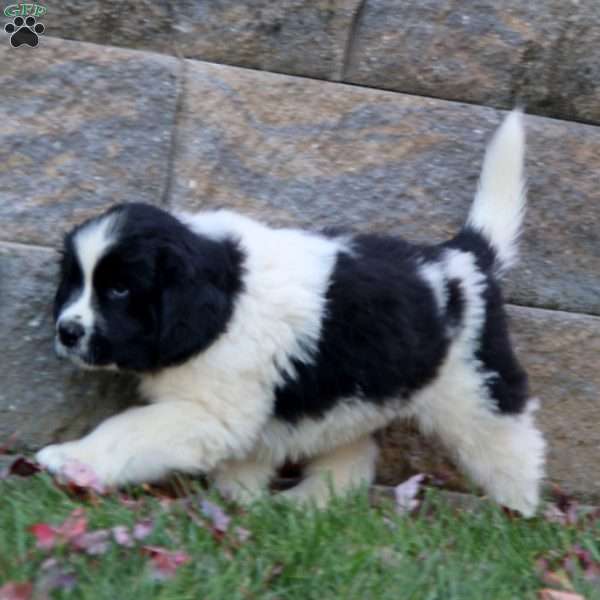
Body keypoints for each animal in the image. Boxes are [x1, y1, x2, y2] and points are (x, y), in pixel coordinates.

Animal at [36, 111, 544, 516]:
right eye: (74, 282)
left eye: (119, 289)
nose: (67, 331)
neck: (225, 298)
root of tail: (464, 256)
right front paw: (238, 501)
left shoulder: (211, 410)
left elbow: (128, 428)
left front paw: (71, 460)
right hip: (348, 397)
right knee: (352, 456)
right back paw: (306, 503)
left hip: (476, 388)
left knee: (512, 445)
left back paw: (516, 516)